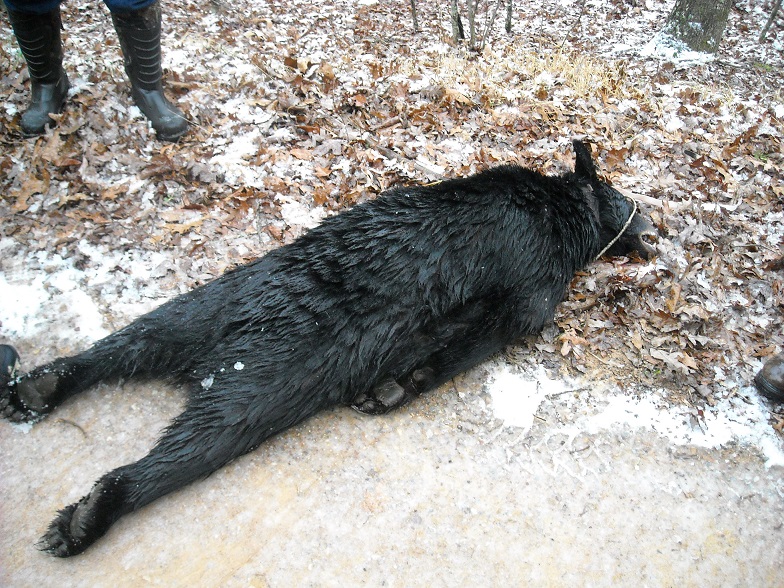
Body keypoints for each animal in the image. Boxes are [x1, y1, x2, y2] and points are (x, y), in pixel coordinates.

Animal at [0, 140, 655, 557]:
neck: (560, 210)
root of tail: (219, 355)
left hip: (203, 307)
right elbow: (466, 345)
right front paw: (398, 385)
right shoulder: (531, 295)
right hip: (261, 385)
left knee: (130, 342)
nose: (657, 223)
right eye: (628, 198)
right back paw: (89, 516)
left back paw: (40, 386)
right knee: (169, 459)